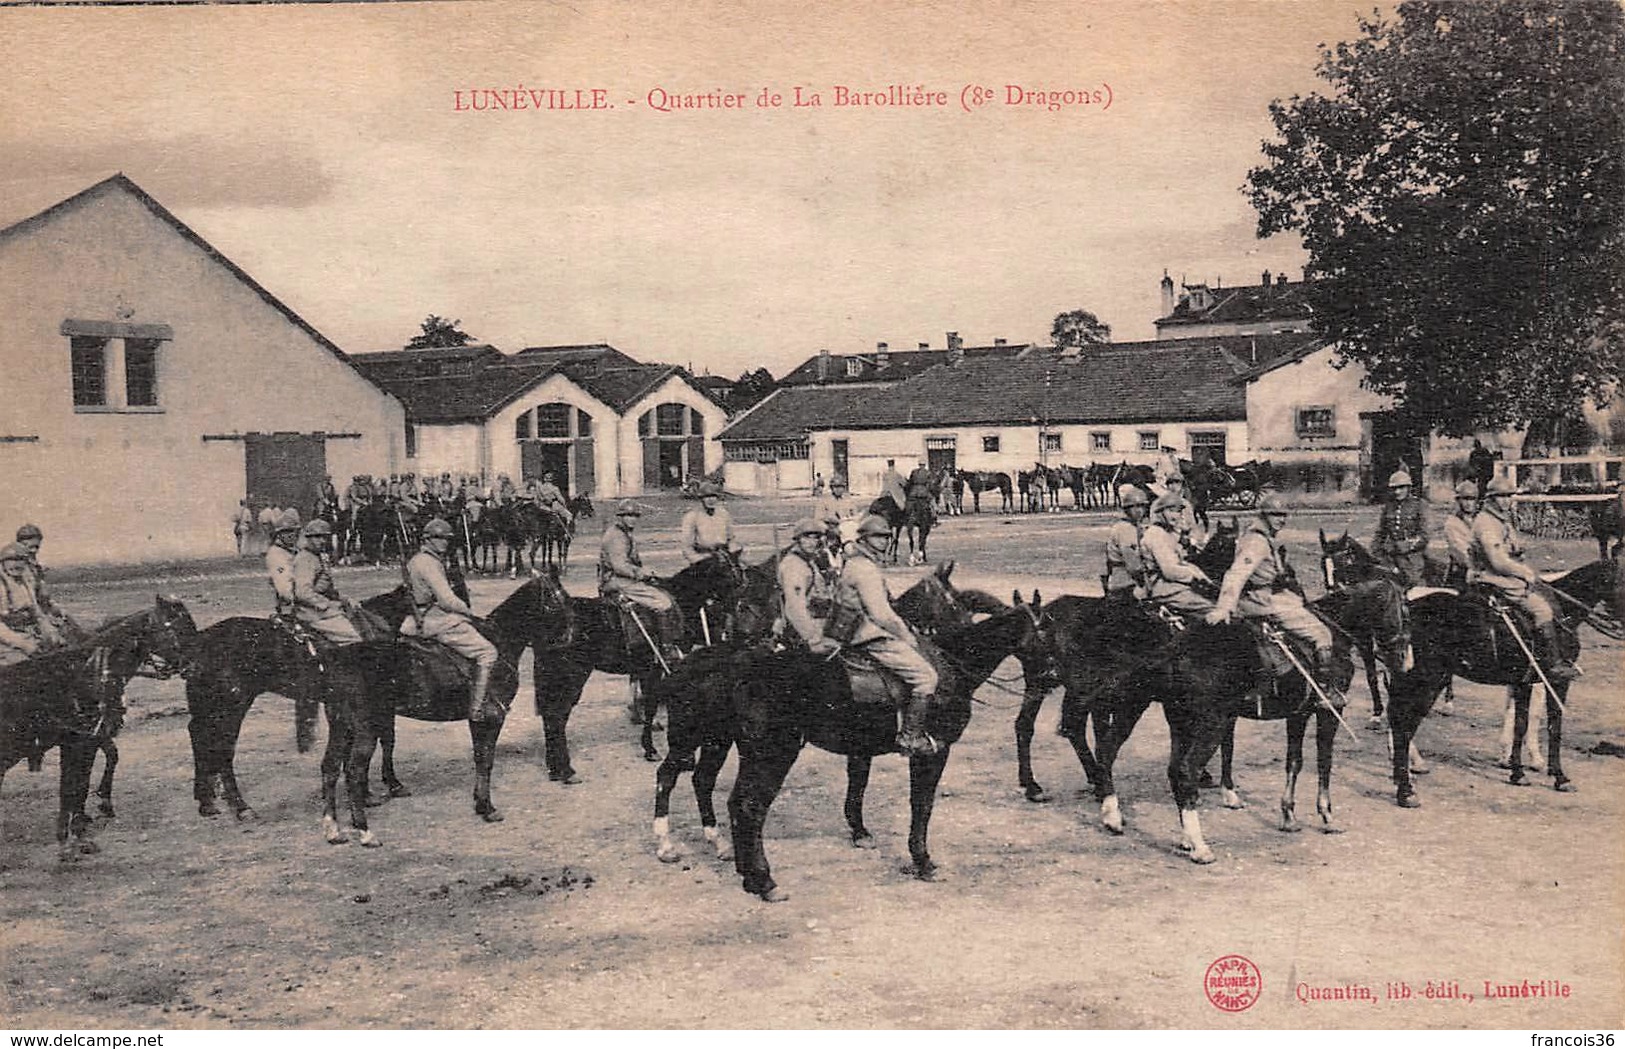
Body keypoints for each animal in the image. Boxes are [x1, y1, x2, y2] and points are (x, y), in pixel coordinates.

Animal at [1, 600, 196, 863]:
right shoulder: (78, 742)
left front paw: (83, 829)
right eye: (176, 628)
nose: (193, 665)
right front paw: (70, 841)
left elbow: (83, 783)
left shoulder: (89, 740)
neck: (87, 673)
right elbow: (72, 788)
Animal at [315, 571, 572, 850]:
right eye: (558, 599)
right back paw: (364, 830)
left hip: (341, 726)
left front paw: (479, 803)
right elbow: (486, 760)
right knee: (354, 771)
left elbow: (479, 758)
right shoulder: (491, 718)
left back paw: (333, 829)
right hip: (365, 728)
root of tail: (339, 658)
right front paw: (488, 807)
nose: (569, 637)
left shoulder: (476, 720)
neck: (500, 640)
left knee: (330, 767)